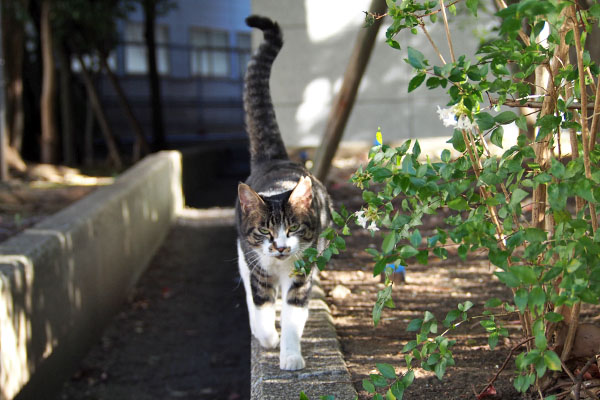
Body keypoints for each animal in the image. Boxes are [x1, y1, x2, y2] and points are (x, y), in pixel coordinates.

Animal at [236, 15, 332, 372]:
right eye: (265, 230)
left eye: (292, 228)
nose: (279, 247)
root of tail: (275, 157)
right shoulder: (257, 267)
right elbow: (261, 305)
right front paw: (267, 338)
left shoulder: (302, 274)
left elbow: (293, 316)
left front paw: (290, 356)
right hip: (242, 254)